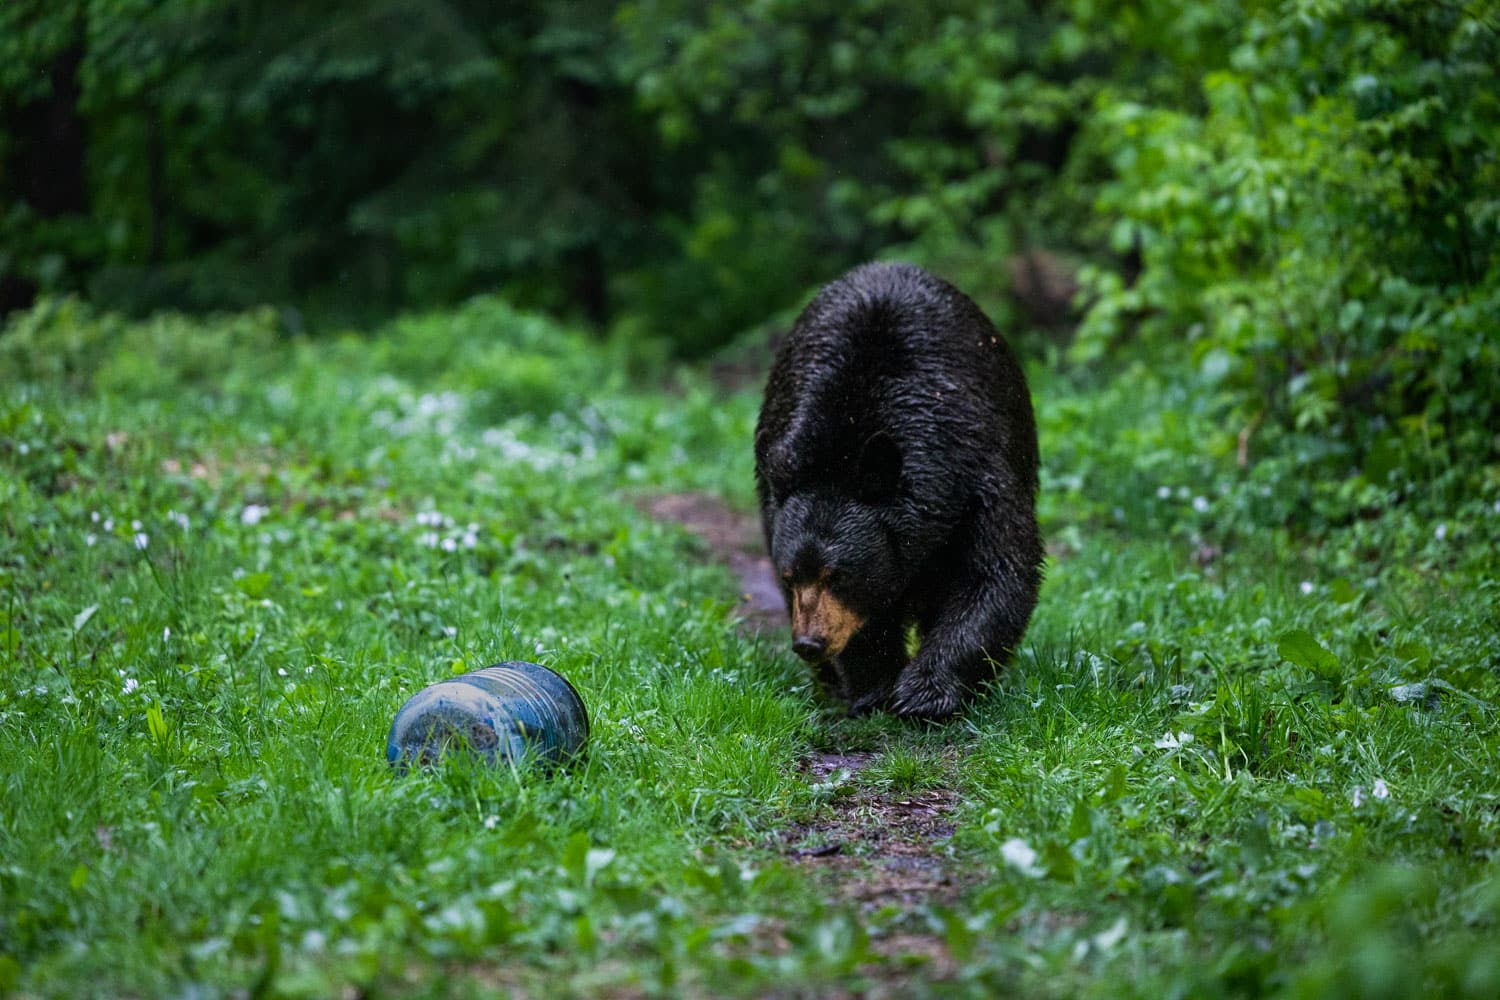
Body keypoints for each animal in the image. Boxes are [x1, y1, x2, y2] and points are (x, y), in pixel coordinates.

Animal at [754, 261, 1043, 720]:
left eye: (838, 573)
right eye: (788, 574)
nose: (808, 643)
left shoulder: (978, 477)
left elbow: (994, 575)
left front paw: (925, 692)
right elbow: (867, 620)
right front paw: (875, 687)